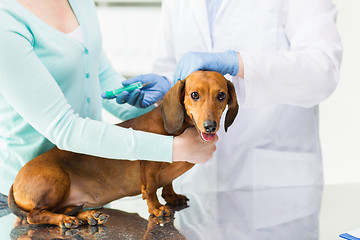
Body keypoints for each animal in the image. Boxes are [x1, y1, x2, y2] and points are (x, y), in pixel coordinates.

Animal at [7, 70, 239, 228]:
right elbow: (151, 188)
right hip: (56, 182)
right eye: (194, 95)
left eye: (221, 96)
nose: (210, 126)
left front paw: (172, 197)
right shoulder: (149, 167)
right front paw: (157, 208)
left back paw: (89, 216)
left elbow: (168, 183)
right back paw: (65, 220)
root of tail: (15, 182)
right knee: (34, 215)